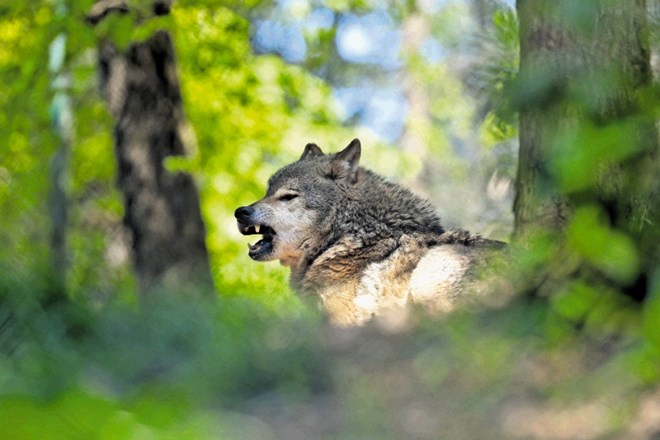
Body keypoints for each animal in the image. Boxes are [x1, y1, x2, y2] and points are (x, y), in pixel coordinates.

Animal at [237, 139, 506, 324]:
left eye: (288, 196)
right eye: (267, 192)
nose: (240, 212)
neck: (351, 236)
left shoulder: (341, 317)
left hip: (434, 268)